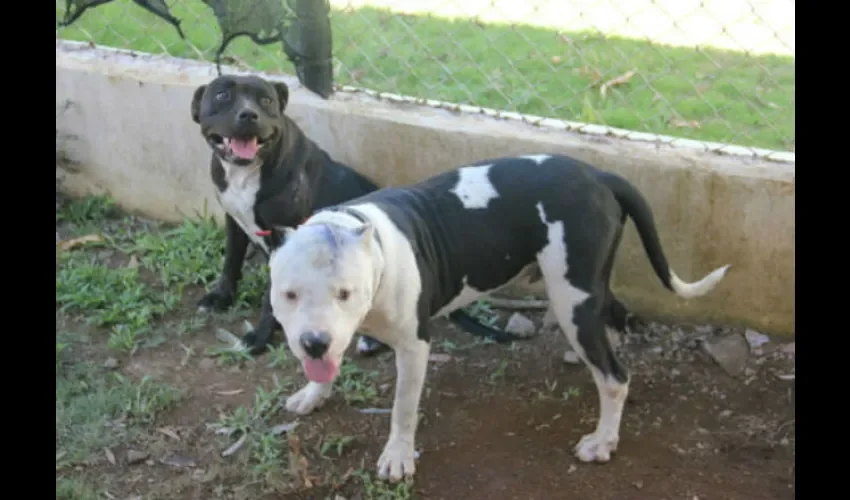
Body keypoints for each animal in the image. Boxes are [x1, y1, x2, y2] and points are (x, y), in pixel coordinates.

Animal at [189, 75, 506, 356]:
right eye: (222, 95)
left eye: (266, 100)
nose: (249, 115)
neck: (247, 173)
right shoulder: (233, 220)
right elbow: (231, 260)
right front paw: (220, 297)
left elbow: (270, 296)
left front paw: (260, 335)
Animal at [266, 154, 728, 482]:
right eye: (289, 294)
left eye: (345, 293)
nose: (313, 342)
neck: (369, 243)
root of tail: (598, 174)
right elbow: (328, 369)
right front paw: (313, 393)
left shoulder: (414, 347)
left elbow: (402, 408)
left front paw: (397, 456)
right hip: (586, 289)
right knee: (612, 324)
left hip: (571, 297)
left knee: (615, 377)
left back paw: (602, 440)